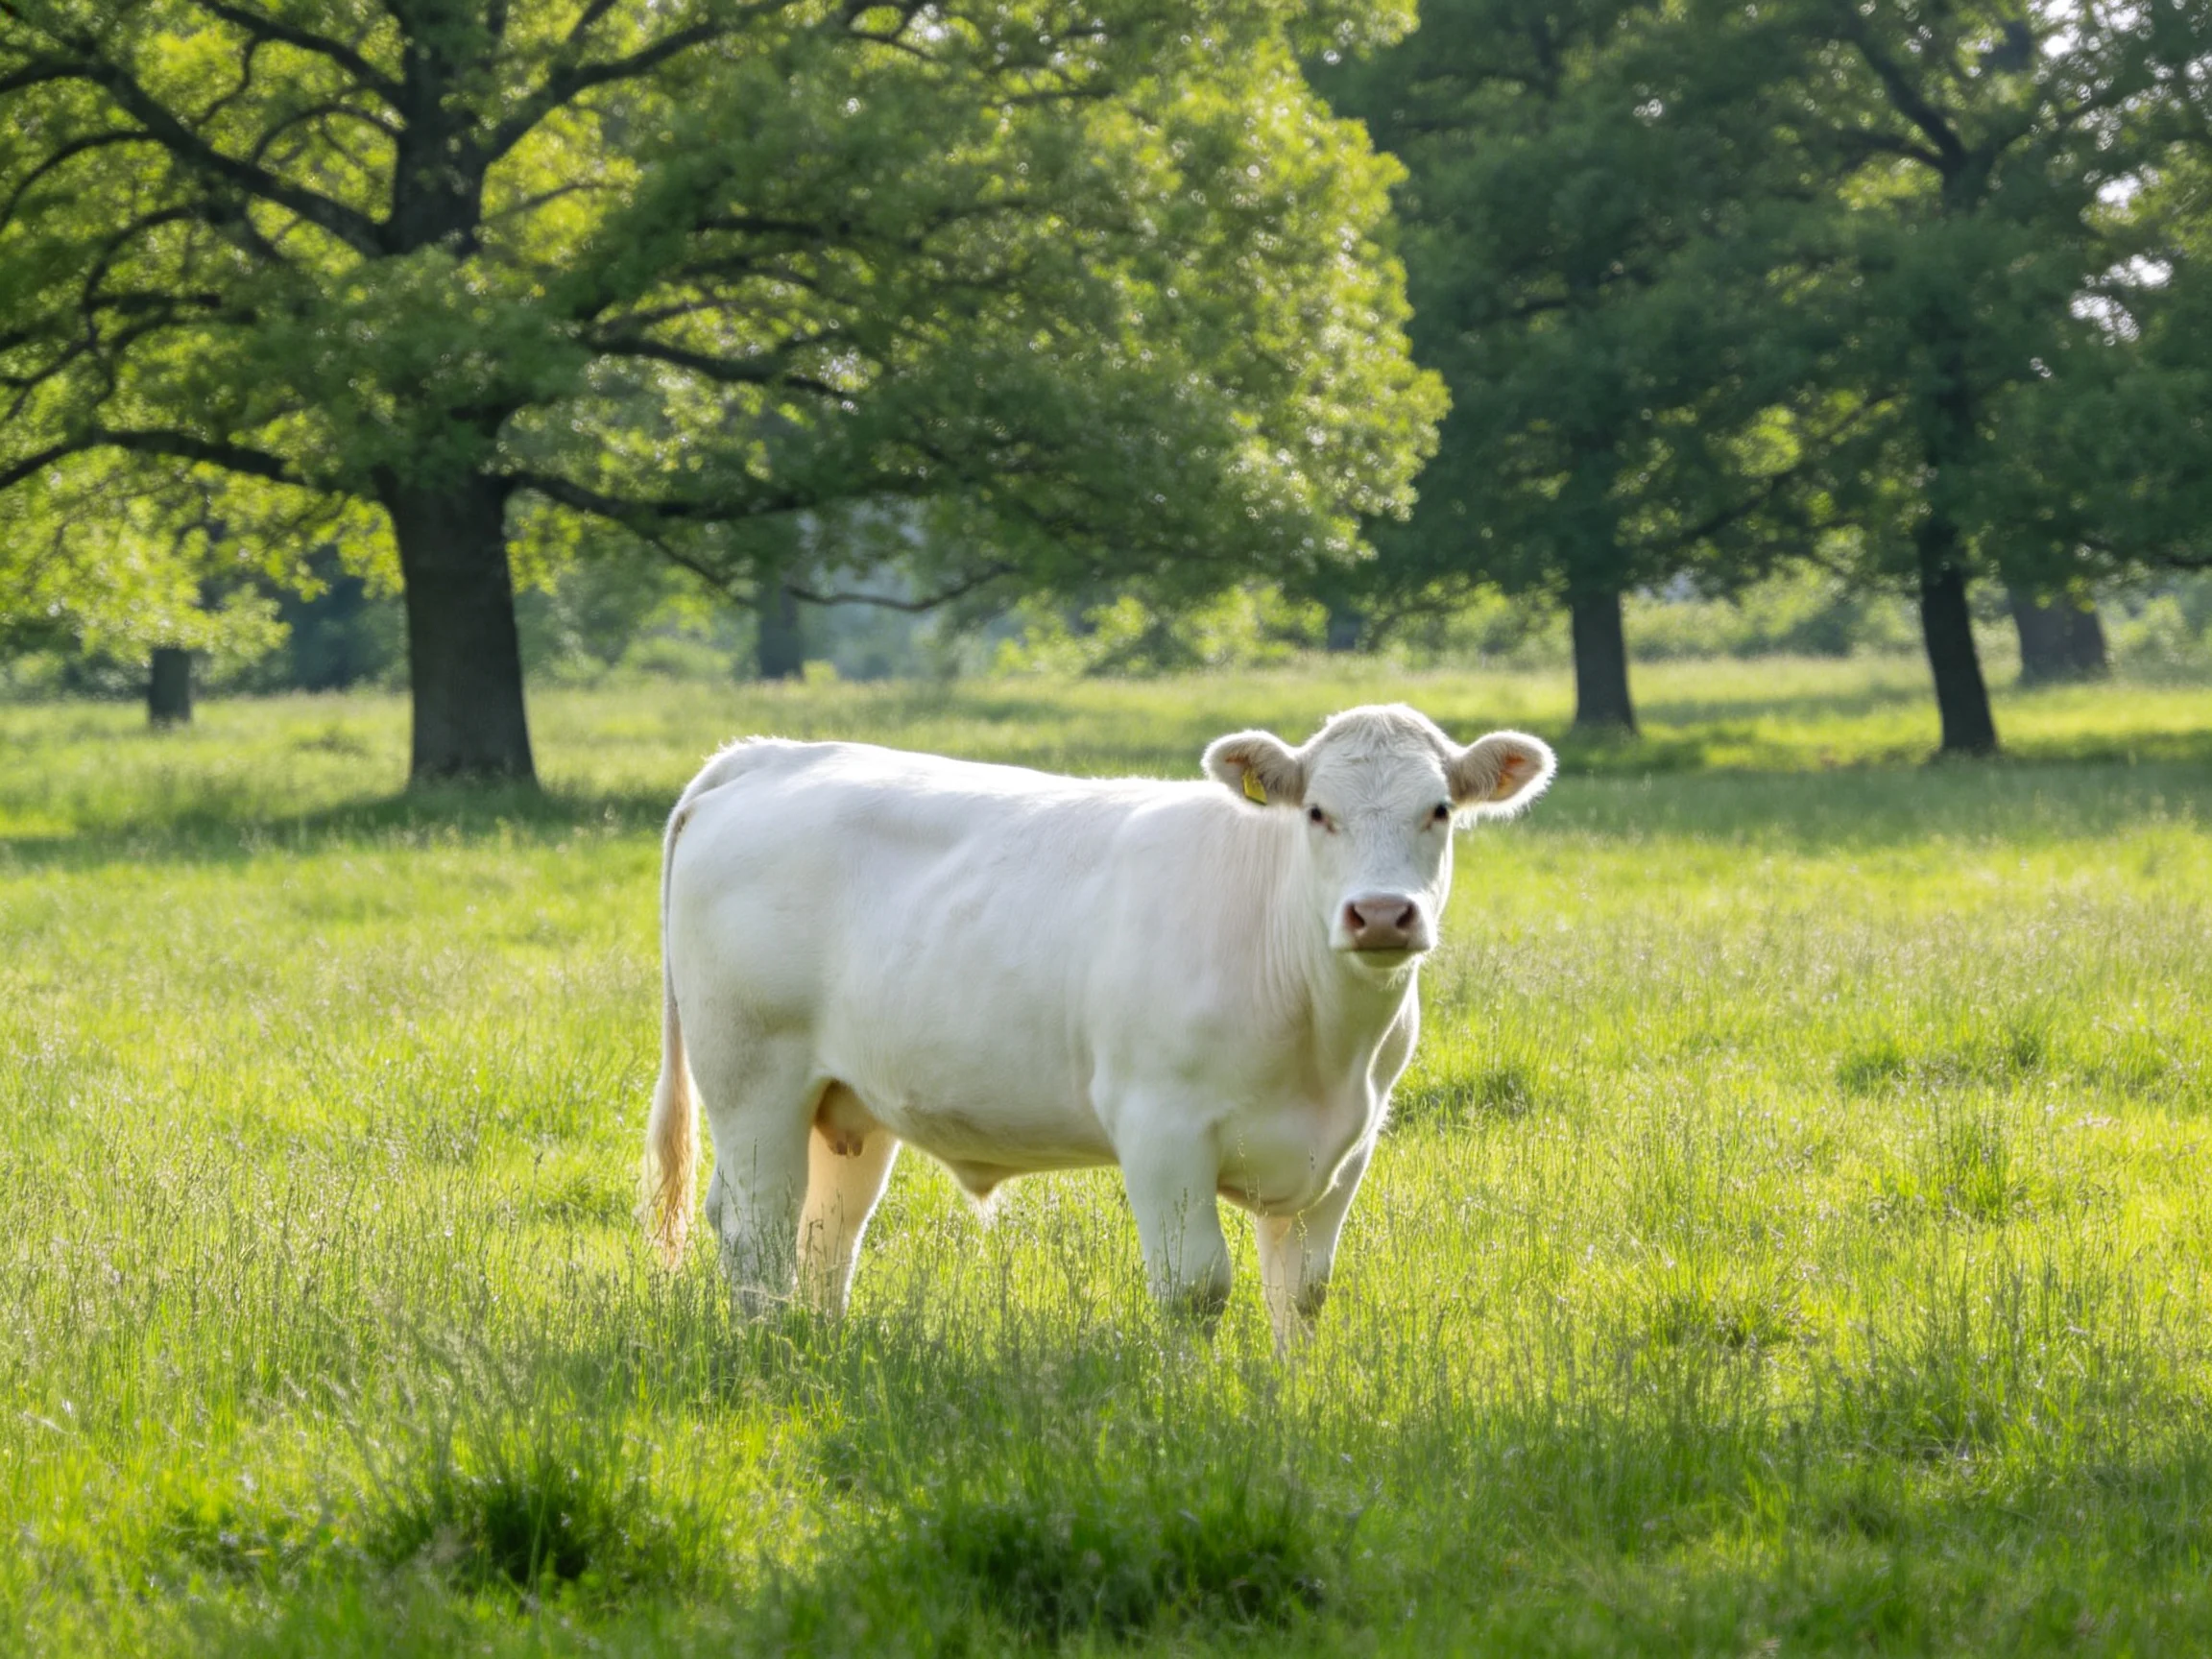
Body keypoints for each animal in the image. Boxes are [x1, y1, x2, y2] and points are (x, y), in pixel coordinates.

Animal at [642, 704, 1555, 1347]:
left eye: (1439, 810)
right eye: (1317, 813)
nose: (1381, 915)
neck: (1324, 1044)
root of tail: (769, 753)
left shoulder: (1346, 1145)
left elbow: (1299, 1291)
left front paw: (1292, 1405)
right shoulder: (1161, 1127)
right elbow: (1194, 1288)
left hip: (847, 1105)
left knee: (826, 1231)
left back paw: (816, 1352)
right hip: (755, 1079)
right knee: (757, 1227)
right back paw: (769, 1358)